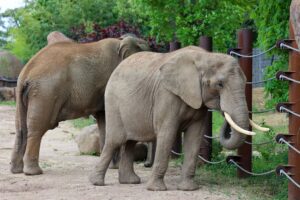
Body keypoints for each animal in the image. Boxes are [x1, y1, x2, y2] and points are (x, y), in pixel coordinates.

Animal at [89, 45, 270, 191]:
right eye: (219, 84)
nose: (224, 111)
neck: (205, 57)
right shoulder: (166, 94)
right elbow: (167, 134)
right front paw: (156, 190)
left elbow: (195, 137)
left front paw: (189, 189)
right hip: (113, 102)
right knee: (115, 140)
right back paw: (97, 183)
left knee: (130, 142)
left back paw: (130, 182)